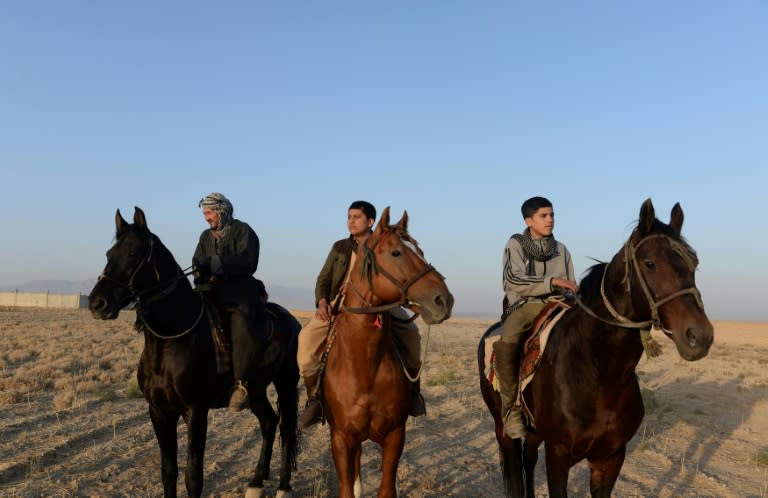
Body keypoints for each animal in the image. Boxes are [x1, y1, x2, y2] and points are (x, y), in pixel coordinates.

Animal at [89, 207, 300, 498]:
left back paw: (283, 487)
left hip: (286, 382)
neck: (171, 340)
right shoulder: (159, 411)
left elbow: (193, 477)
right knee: (269, 422)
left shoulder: (196, 411)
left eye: (132, 253)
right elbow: (168, 472)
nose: (96, 303)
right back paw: (256, 483)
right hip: (256, 390)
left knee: (287, 429)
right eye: (110, 254)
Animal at [320, 207, 452, 498]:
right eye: (396, 252)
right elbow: (346, 486)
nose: (444, 301)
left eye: (420, 251)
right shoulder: (341, 438)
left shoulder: (395, 435)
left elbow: (387, 487)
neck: (365, 365)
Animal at [480, 199, 712, 498]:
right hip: (503, 428)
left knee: (528, 461)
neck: (599, 372)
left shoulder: (610, 456)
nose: (699, 336)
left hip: (535, 432)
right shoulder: (558, 455)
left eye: (694, 263)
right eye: (650, 263)